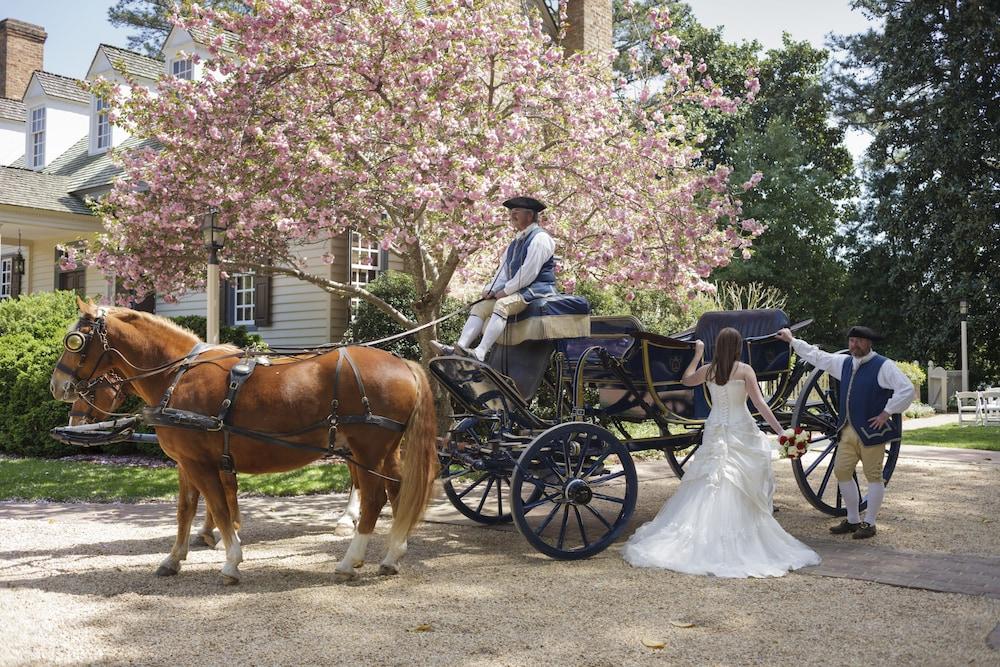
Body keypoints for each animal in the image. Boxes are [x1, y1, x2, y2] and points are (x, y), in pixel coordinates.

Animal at [51, 300, 438, 580]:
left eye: (75, 341)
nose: (58, 386)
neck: (178, 375)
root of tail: (404, 364)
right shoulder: (187, 463)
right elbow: (185, 509)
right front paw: (174, 558)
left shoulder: (201, 464)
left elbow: (220, 507)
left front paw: (231, 560)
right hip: (385, 452)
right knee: (397, 492)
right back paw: (391, 556)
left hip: (367, 451)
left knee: (374, 498)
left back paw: (350, 560)